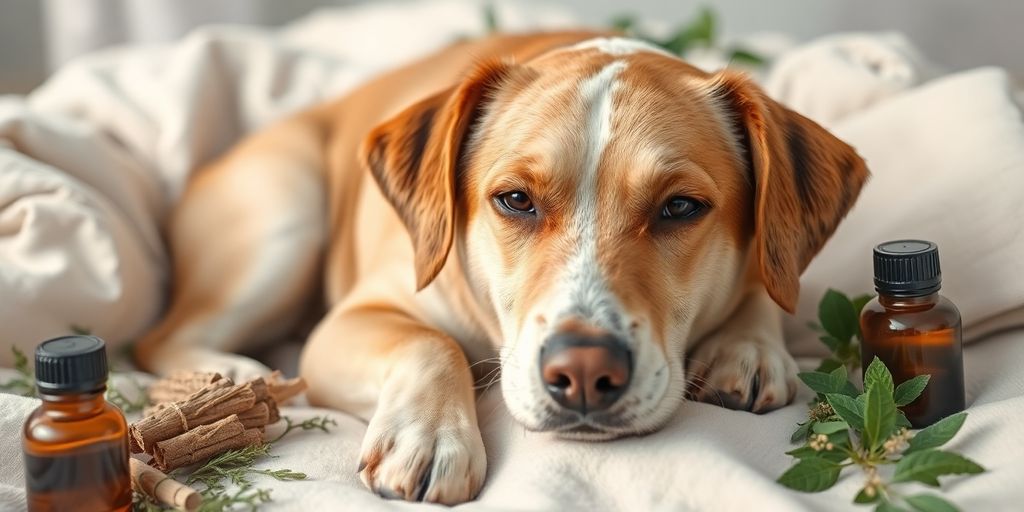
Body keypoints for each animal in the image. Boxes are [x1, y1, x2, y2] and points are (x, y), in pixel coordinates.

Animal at [136, 30, 868, 503]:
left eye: (681, 207)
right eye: (515, 200)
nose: (583, 372)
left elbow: (768, 288)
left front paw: (747, 348)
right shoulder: (349, 321)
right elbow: (431, 343)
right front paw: (428, 439)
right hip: (285, 216)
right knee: (162, 335)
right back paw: (234, 378)